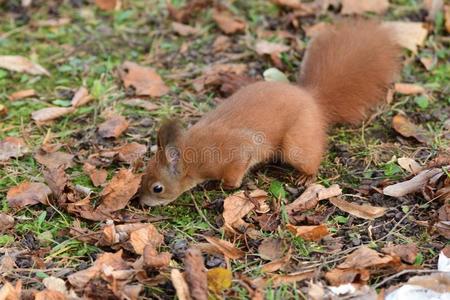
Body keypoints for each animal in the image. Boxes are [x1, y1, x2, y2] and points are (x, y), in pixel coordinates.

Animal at [139, 20, 400, 206]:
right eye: (142, 176)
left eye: (157, 188)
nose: (141, 202)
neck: (192, 156)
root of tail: (311, 97)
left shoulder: (235, 153)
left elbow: (234, 175)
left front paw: (222, 186)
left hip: (297, 142)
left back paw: (306, 176)